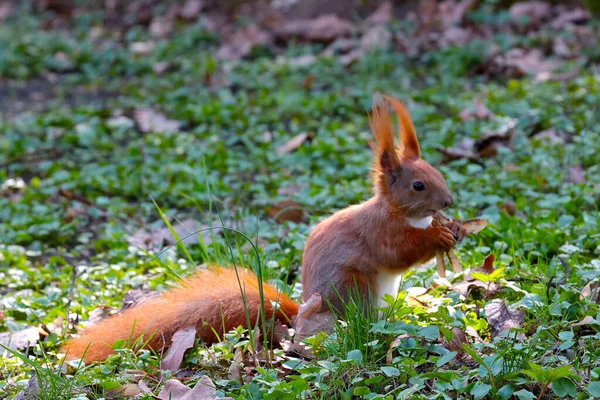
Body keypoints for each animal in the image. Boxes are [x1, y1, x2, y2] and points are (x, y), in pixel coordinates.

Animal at [61, 96, 462, 362]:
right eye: (418, 186)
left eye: (437, 172)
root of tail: (295, 314)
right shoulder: (380, 232)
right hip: (353, 287)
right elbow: (398, 252)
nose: (449, 202)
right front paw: (438, 236)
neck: (402, 214)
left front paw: (452, 229)